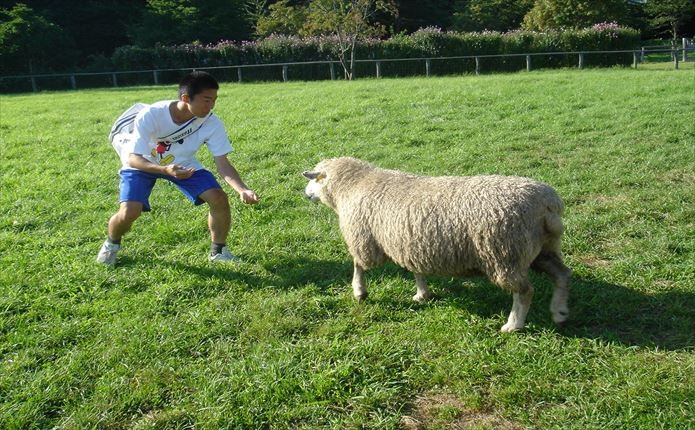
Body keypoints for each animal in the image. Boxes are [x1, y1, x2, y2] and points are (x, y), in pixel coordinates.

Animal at [303, 157, 571, 332]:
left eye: (314, 179)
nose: (305, 193)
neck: (352, 185)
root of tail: (548, 204)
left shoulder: (364, 240)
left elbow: (358, 265)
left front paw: (359, 291)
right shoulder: (411, 244)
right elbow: (416, 271)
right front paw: (422, 294)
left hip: (504, 255)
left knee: (525, 291)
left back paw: (514, 324)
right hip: (541, 249)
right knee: (562, 274)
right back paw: (559, 312)